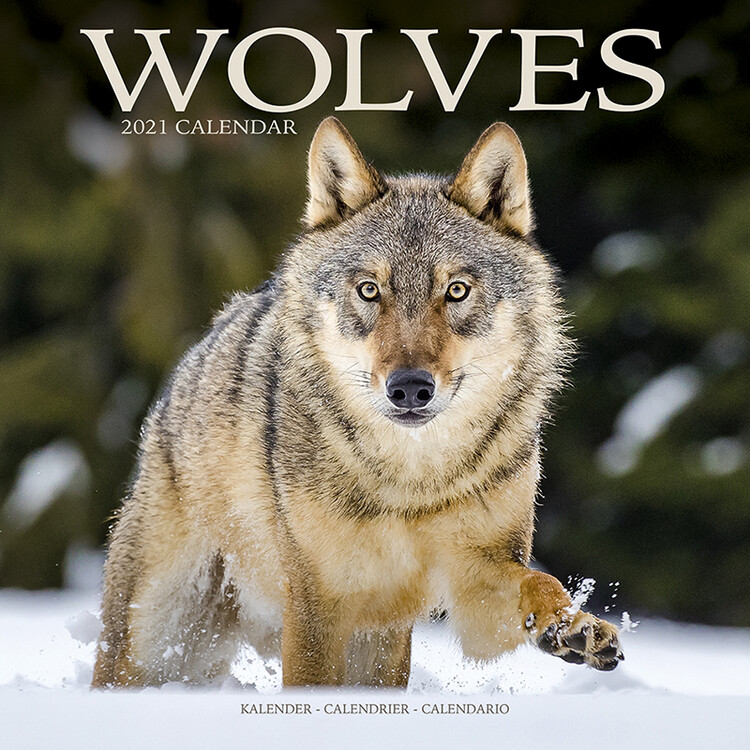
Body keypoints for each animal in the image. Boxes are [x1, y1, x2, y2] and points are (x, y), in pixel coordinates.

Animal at [92, 117, 623, 688]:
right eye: (370, 290)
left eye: (456, 291)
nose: (409, 387)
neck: (411, 484)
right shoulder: (317, 605)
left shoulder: (476, 582)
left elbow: (541, 582)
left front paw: (574, 626)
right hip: (153, 646)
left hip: (376, 642)